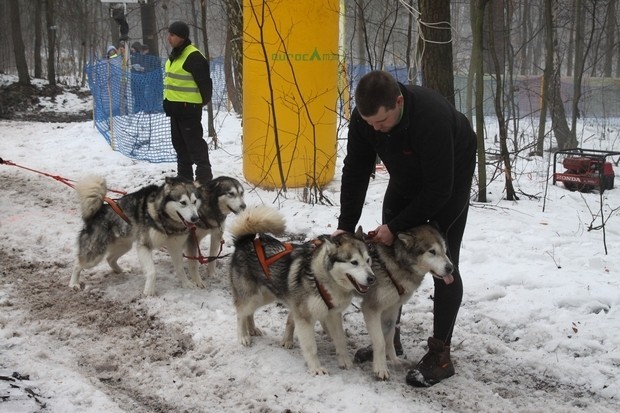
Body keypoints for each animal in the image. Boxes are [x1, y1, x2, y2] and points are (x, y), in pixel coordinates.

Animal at [70, 175, 201, 294]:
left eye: (194, 202)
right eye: (183, 202)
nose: (195, 218)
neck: (165, 219)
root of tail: (99, 210)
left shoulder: (176, 246)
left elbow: (180, 268)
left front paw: (186, 283)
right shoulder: (144, 246)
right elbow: (152, 272)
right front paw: (149, 292)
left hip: (124, 245)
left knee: (110, 258)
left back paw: (120, 270)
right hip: (95, 255)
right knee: (77, 264)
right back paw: (73, 283)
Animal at [228, 204, 372, 374]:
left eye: (368, 260)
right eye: (354, 262)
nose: (372, 278)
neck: (323, 278)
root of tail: (244, 241)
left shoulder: (333, 314)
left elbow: (340, 340)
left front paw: (345, 362)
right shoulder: (304, 318)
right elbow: (311, 347)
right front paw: (316, 369)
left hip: (264, 296)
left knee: (248, 313)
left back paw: (252, 329)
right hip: (251, 296)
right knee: (240, 313)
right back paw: (243, 336)